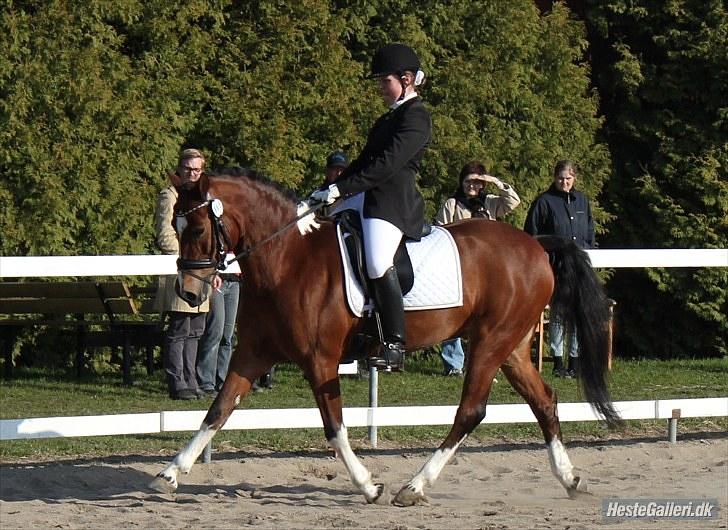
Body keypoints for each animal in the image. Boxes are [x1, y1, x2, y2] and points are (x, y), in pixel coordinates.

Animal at [150, 170, 620, 506]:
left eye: (196, 230)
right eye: (174, 225)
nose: (189, 294)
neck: (286, 260)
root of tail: (536, 245)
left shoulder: (320, 361)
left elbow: (334, 427)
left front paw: (367, 485)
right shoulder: (252, 355)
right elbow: (217, 410)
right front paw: (170, 473)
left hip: (490, 342)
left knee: (471, 411)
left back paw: (413, 487)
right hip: (512, 347)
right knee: (544, 401)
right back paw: (570, 478)